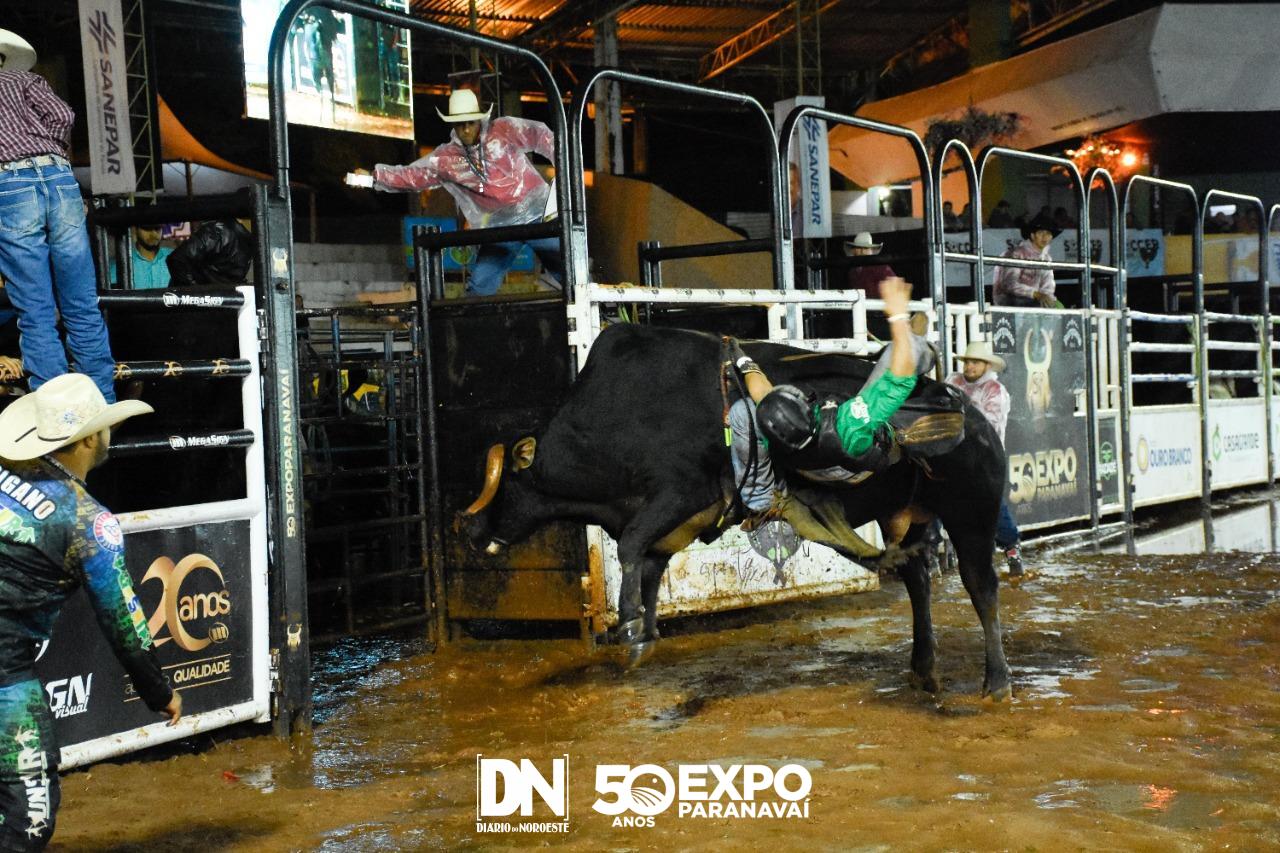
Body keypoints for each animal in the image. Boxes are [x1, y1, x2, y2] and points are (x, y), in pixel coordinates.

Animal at [459, 322, 1013, 700]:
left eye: (503, 488)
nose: (472, 533)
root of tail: (972, 415)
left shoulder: (675, 494)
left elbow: (632, 547)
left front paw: (631, 627)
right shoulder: (675, 523)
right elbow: (649, 564)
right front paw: (647, 632)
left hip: (972, 512)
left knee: (981, 587)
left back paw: (997, 681)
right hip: (909, 512)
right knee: (917, 578)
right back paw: (923, 667)